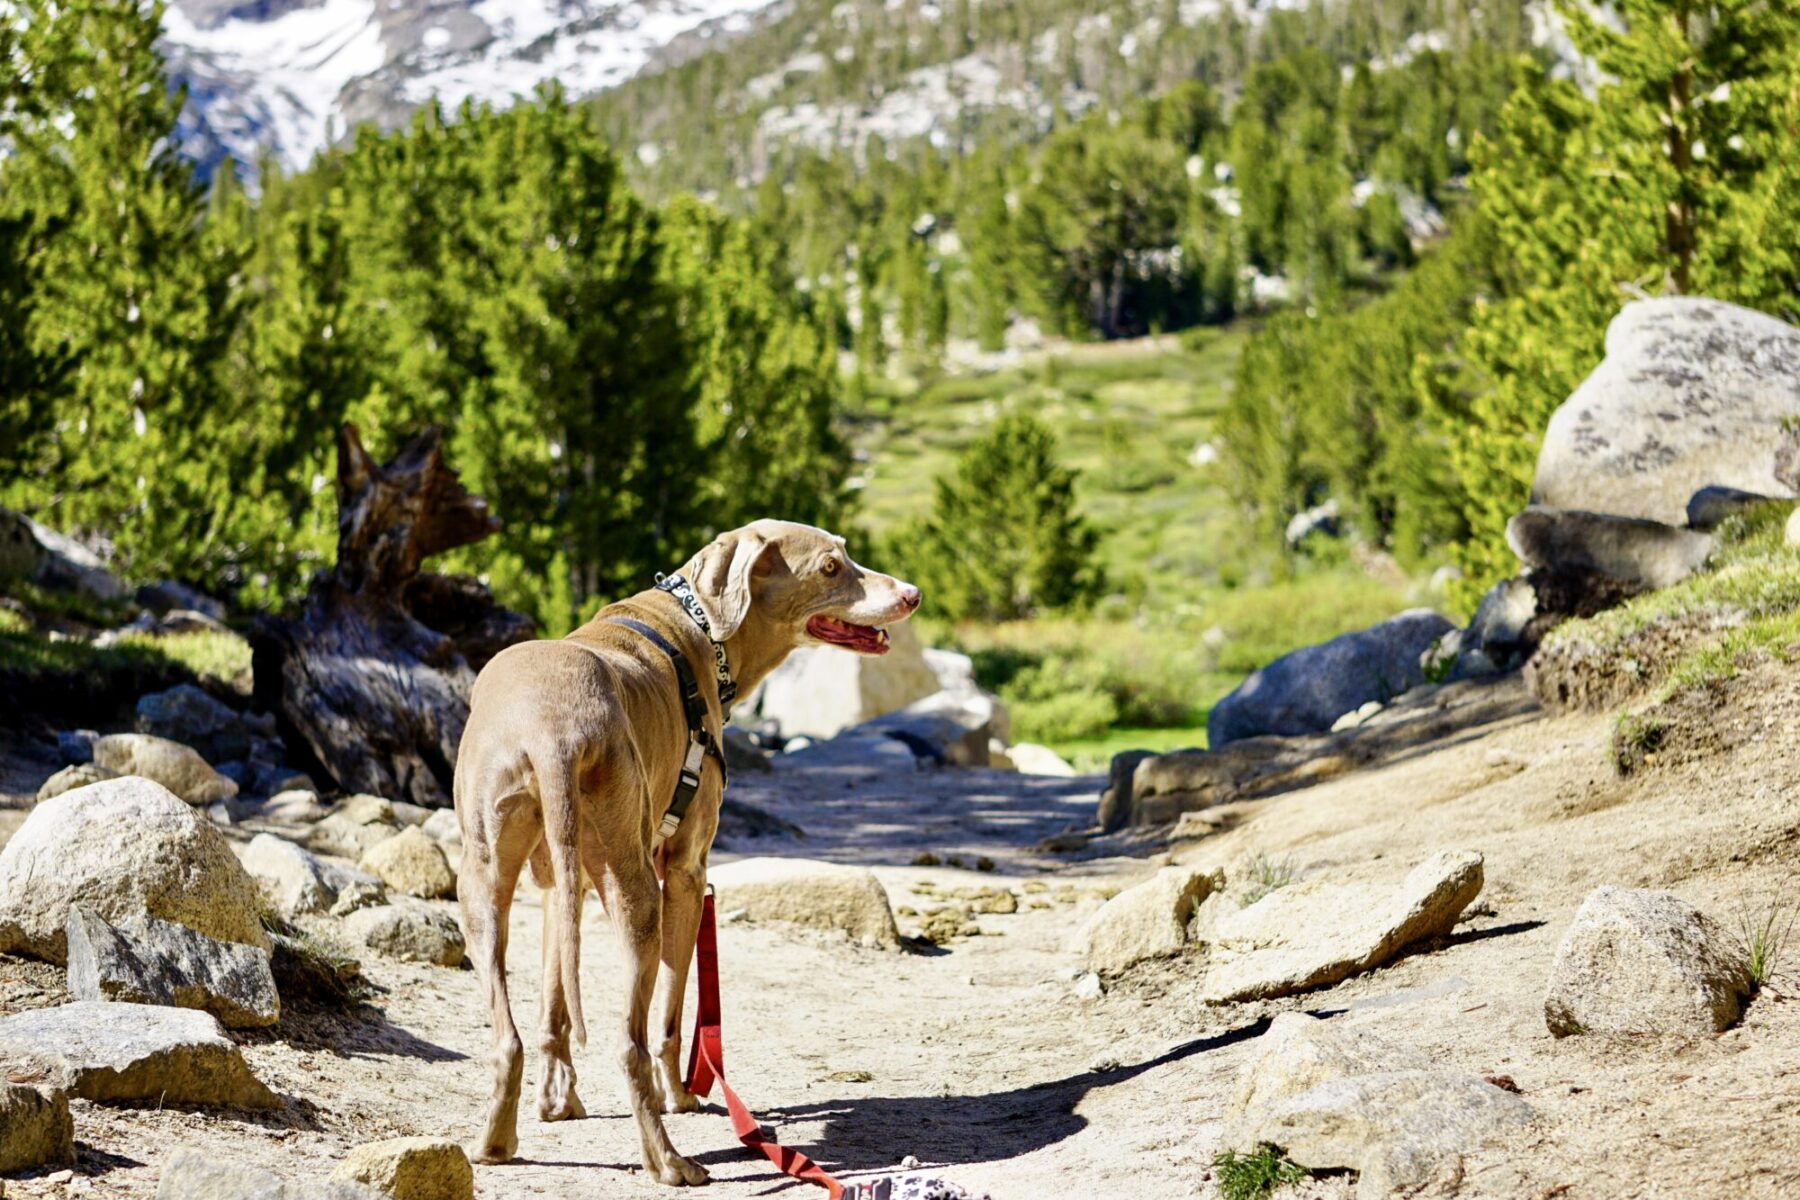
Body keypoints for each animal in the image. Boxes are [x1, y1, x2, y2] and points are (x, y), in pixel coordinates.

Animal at [457, 521, 921, 1180]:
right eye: (832, 566)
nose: (912, 594)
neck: (697, 625)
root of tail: (551, 729)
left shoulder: (557, 884)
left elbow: (554, 1003)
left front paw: (557, 1101)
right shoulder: (685, 870)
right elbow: (672, 1018)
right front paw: (679, 1094)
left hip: (484, 881)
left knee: (508, 1035)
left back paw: (495, 1144)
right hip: (637, 893)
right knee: (629, 1041)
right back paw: (670, 1161)